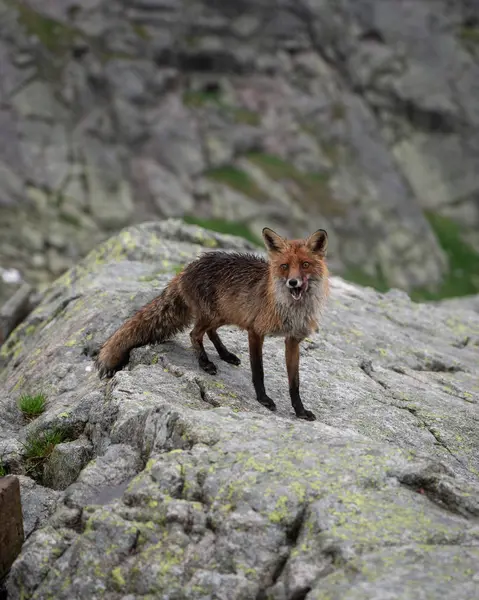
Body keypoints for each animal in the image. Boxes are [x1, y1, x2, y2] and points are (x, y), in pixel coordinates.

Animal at [97, 229, 330, 422]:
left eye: (305, 265)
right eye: (284, 267)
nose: (293, 283)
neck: (291, 310)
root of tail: (186, 268)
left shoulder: (293, 340)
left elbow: (294, 383)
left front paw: (300, 411)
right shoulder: (255, 331)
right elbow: (258, 371)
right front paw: (263, 399)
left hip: (226, 314)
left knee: (209, 331)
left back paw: (225, 354)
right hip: (215, 314)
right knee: (194, 334)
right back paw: (205, 362)